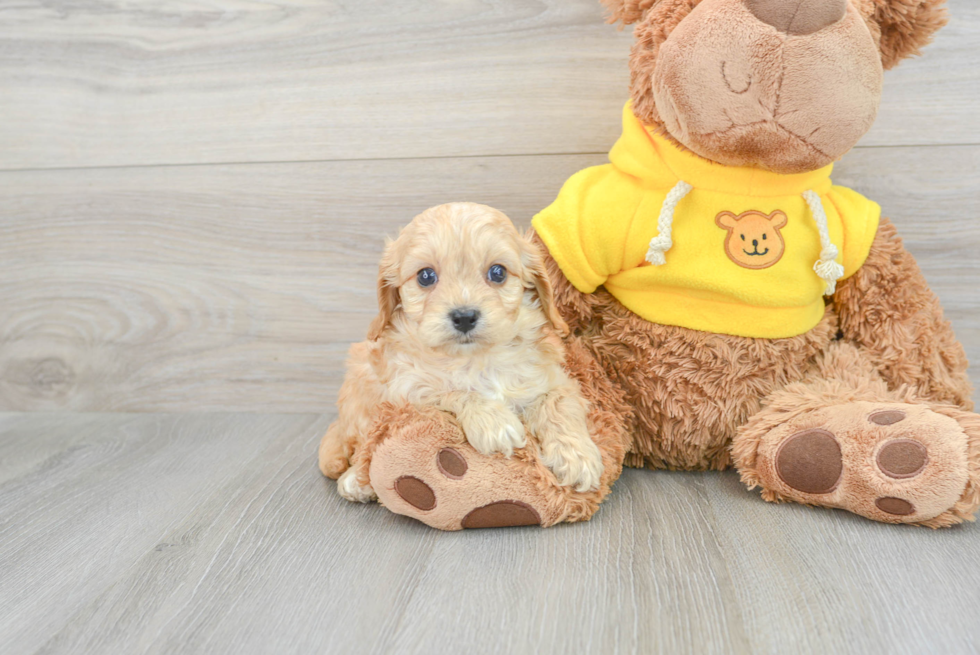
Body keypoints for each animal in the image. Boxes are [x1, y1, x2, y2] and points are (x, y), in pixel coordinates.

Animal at [320, 202, 604, 500]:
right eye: (425, 276)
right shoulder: (404, 388)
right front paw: (494, 421)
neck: (476, 359)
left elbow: (557, 403)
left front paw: (577, 456)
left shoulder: (554, 378)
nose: (465, 316)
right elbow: (447, 391)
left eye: (498, 273)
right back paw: (356, 480)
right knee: (361, 444)